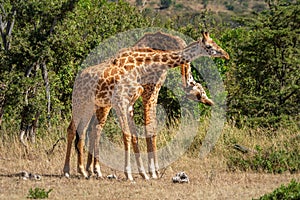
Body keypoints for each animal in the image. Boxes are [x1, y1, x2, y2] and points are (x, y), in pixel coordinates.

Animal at [62, 31, 229, 181]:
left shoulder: (130, 104)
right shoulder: (126, 100)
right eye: (209, 46)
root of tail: (79, 77)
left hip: (91, 106)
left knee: (85, 130)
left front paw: (144, 173)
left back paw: (86, 171)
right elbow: (133, 134)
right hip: (80, 103)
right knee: (75, 129)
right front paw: (138, 173)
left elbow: (136, 134)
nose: (225, 54)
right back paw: (71, 171)